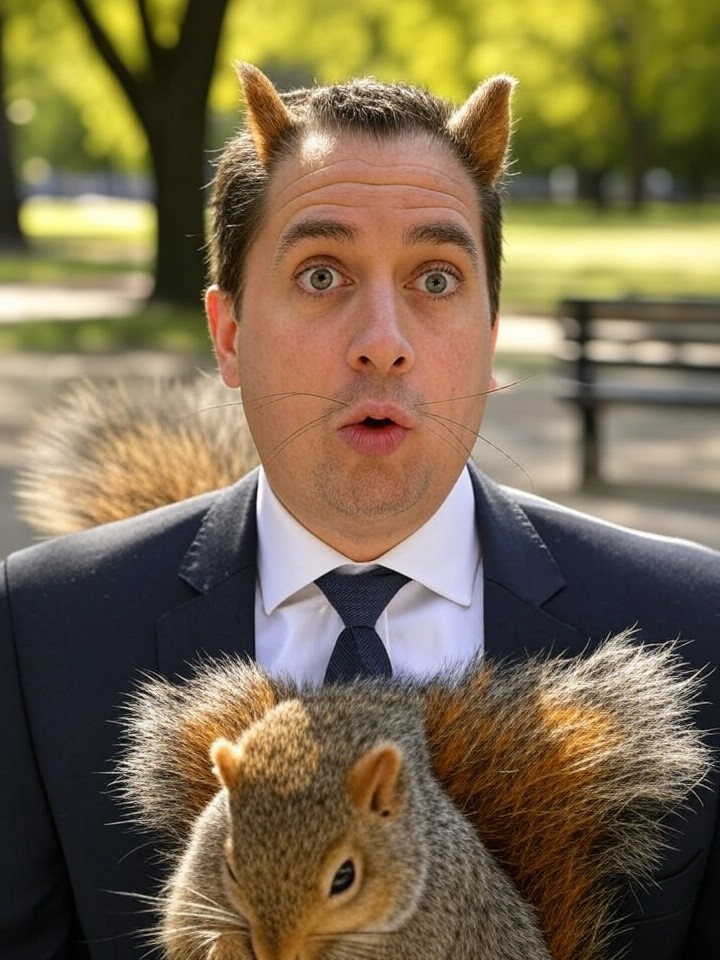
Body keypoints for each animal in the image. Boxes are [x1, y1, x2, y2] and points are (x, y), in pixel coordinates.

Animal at [115, 632, 711, 960]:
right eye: (233, 867)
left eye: (345, 878)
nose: (276, 954)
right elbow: (185, 934)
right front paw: (227, 949)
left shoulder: (431, 920)